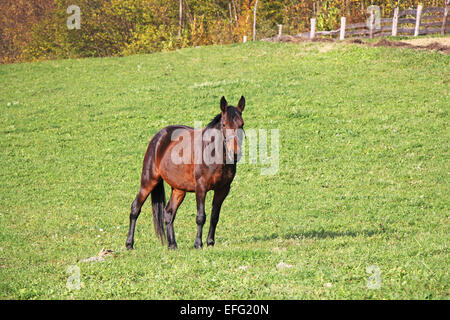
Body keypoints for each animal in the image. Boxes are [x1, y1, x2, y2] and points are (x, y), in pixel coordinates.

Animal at [125, 95, 246, 250]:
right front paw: (198, 244)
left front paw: (210, 242)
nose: (235, 153)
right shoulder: (201, 188)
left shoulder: (223, 190)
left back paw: (172, 245)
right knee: (135, 208)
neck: (213, 154)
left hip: (179, 190)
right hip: (148, 181)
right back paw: (129, 244)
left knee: (168, 213)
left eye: (241, 124)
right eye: (224, 125)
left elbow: (214, 216)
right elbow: (201, 217)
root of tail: (158, 137)